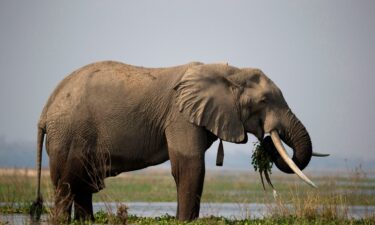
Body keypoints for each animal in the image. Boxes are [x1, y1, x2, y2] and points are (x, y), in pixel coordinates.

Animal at [30, 61, 328, 221]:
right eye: (264, 101)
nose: (266, 141)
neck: (229, 71)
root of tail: (45, 109)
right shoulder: (180, 116)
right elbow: (189, 166)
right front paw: (184, 221)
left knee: (82, 185)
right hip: (69, 134)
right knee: (68, 185)